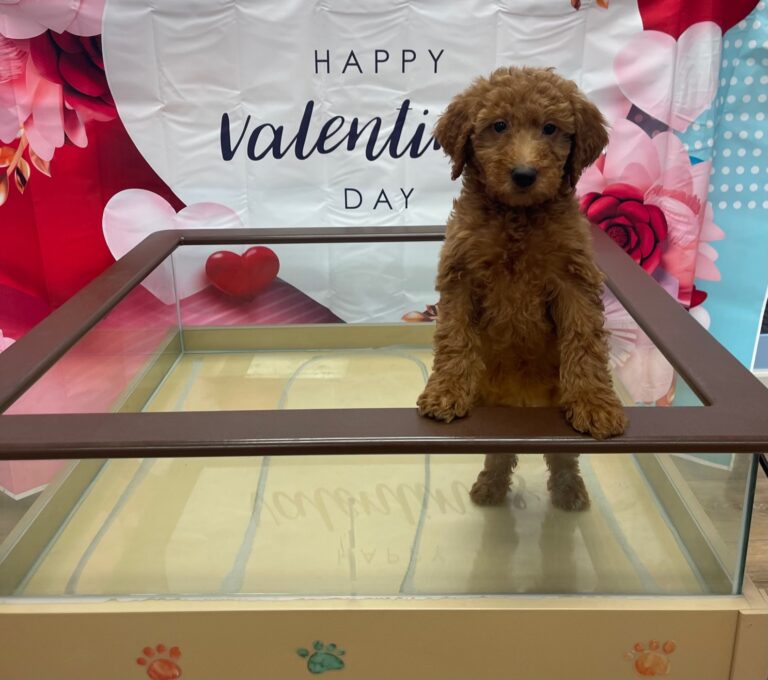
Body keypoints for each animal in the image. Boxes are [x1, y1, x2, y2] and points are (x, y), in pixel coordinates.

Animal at [420, 67, 632, 510]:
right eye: (498, 126)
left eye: (550, 128)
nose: (523, 175)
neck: (517, 216)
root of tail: (523, 403)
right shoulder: (460, 276)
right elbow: (454, 339)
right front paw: (445, 392)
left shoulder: (574, 279)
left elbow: (585, 342)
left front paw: (596, 405)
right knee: (499, 451)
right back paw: (490, 487)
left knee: (561, 454)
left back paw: (569, 491)